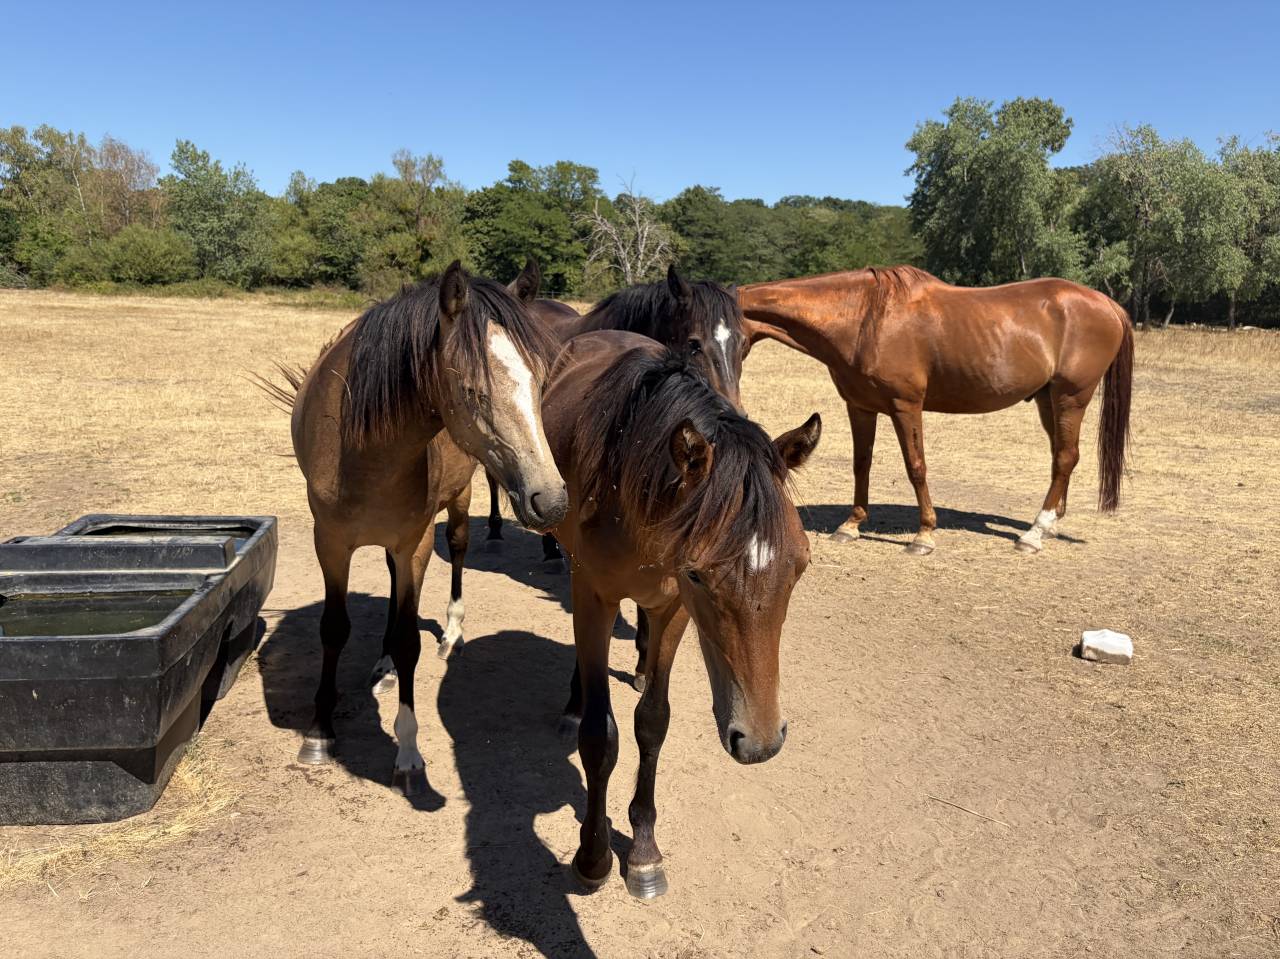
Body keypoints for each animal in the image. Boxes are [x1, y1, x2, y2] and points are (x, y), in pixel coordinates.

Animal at [286, 260, 566, 793]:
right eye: (474, 391)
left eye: (542, 383)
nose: (553, 501)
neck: (363, 446)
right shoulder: (329, 541)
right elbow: (334, 628)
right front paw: (319, 731)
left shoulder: (413, 542)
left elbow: (408, 639)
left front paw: (408, 752)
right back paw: (383, 666)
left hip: (457, 502)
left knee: (456, 550)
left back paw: (451, 633)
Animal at [540, 329, 821, 898]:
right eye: (698, 573)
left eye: (800, 564)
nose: (760, 741)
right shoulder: (594, 597)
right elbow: (600, 736)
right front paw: (593, 857)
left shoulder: (673, 610)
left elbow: (653, 722)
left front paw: (644, 853)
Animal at [737, 266, 1134, 555]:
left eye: (730, 338)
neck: (866, 318)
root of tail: (1107, 303)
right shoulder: (860, 407)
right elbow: (861, 464)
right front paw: (851, 525)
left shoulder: (905, 406)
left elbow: (916, 467)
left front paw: (924, 535)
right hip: (1046, 399)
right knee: (1060, 457)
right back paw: (1049, 524)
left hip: (1071, 397)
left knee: (1066, 457)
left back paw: (1034, 534)